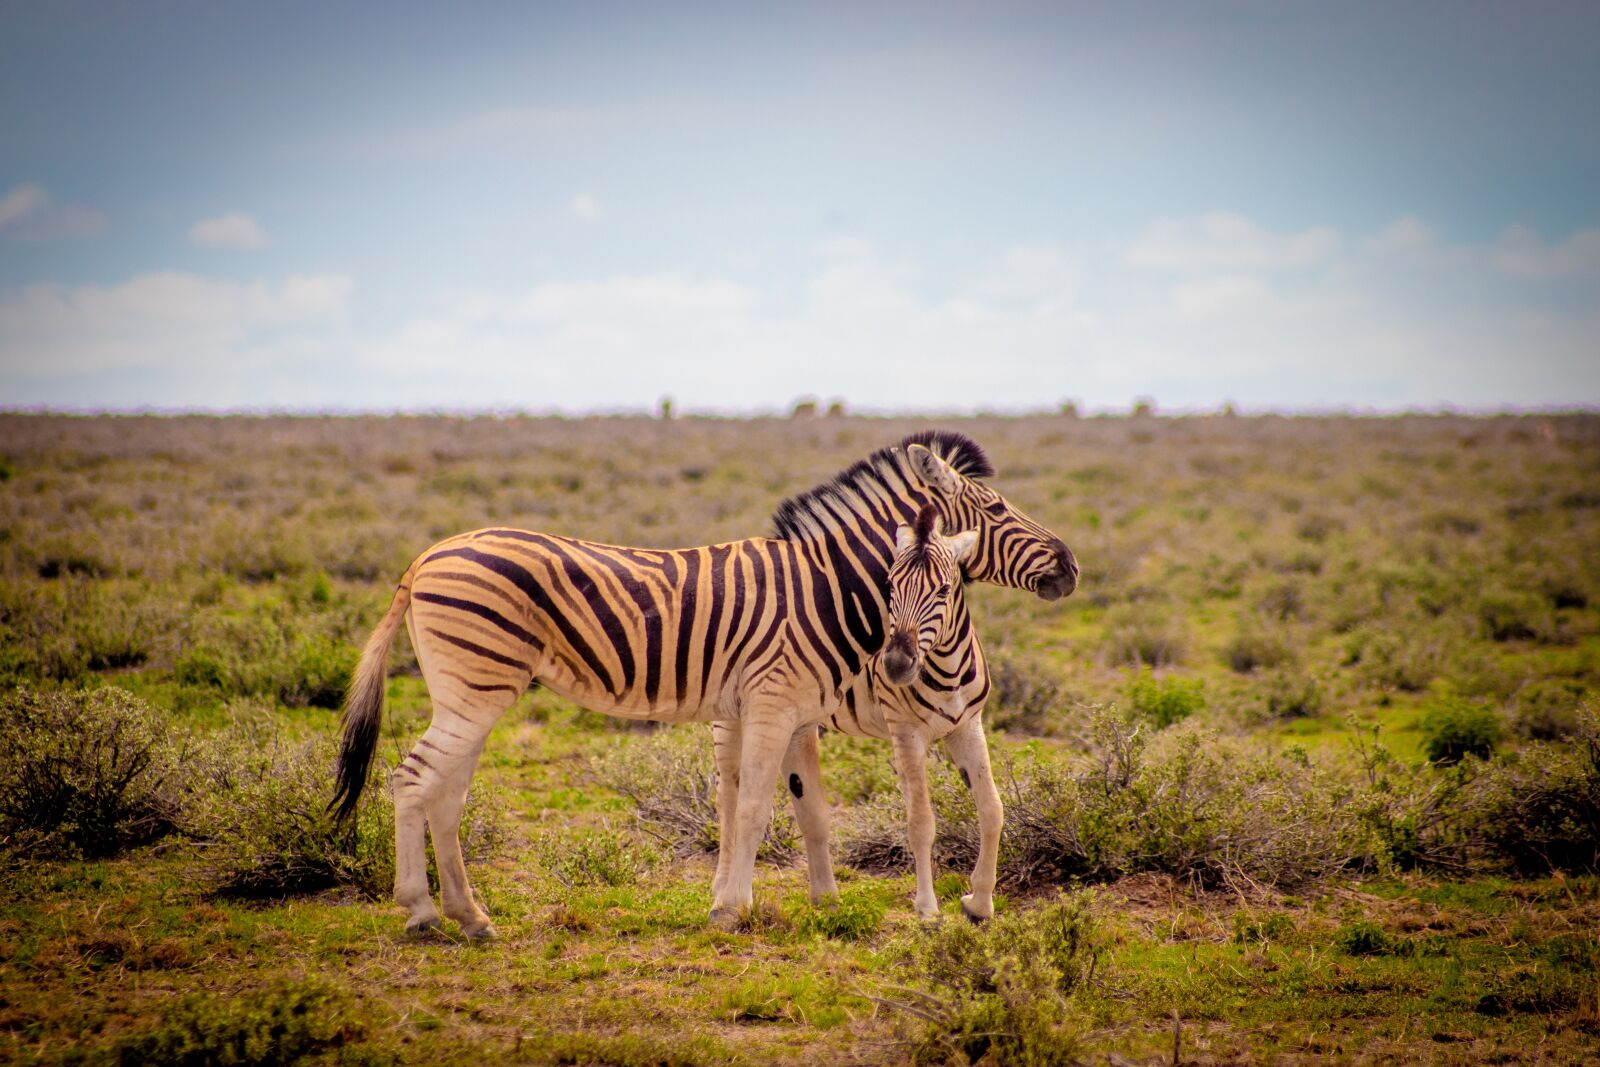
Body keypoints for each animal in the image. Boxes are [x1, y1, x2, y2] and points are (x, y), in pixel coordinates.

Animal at [331, 431, 1076, 936]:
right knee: (412, 780)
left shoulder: (787, 707)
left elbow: (791, 809)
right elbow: (754, 809)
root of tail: (425, 555)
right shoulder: (776, 702)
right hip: (475, 686)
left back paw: (471, 916)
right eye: (998, 508)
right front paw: (732, 909)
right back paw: (424, 912)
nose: (1069, 566)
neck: (826, 588)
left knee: (444, 793)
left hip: (471, 692)